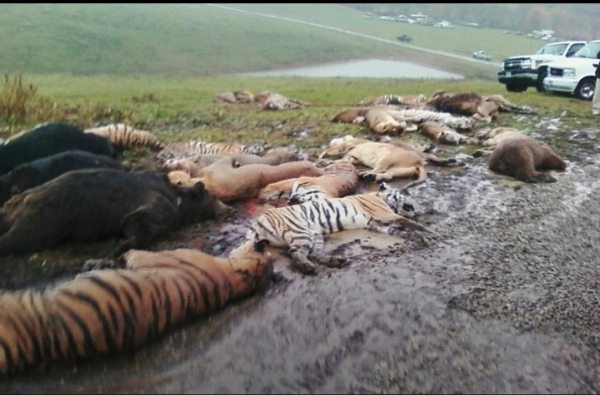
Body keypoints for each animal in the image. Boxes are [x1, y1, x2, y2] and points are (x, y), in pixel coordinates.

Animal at [243, 183, 436, 276]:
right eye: (402, 193)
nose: (414, 205)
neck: (380, 197)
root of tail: (257, 222)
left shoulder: (377, 224)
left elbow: (400, 231)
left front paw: (418, 237)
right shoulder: (385, 214)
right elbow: (410, 223)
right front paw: (430, 233)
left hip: (314, 235)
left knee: (314, 253)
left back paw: (335, 261)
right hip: (302, 232)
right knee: (295, 252)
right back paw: (308, 267)